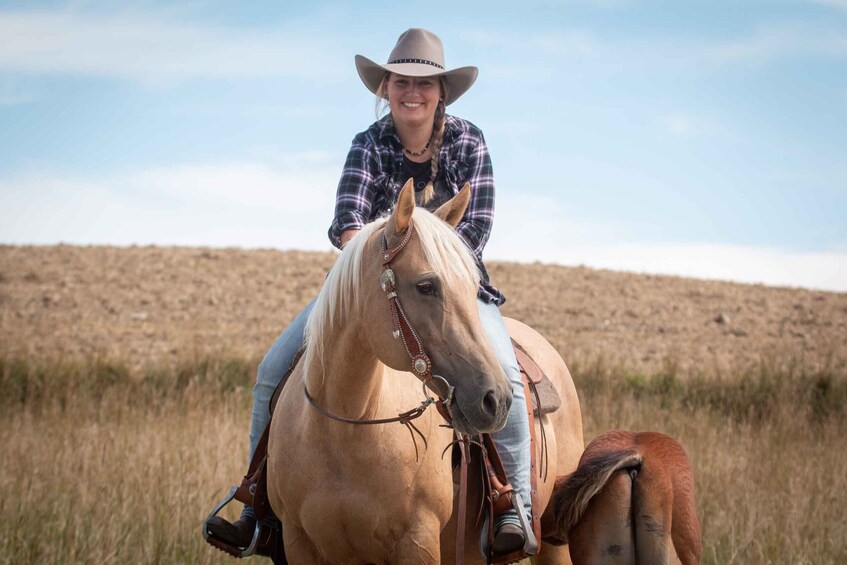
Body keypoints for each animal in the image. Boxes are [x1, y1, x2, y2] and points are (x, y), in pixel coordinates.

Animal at [264, 182, 584, 564]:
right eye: (426, 286)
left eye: (473, 287)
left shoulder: (417, 542)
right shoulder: (299, 543)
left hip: (553, 543)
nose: (496, 400)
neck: (344, 429)